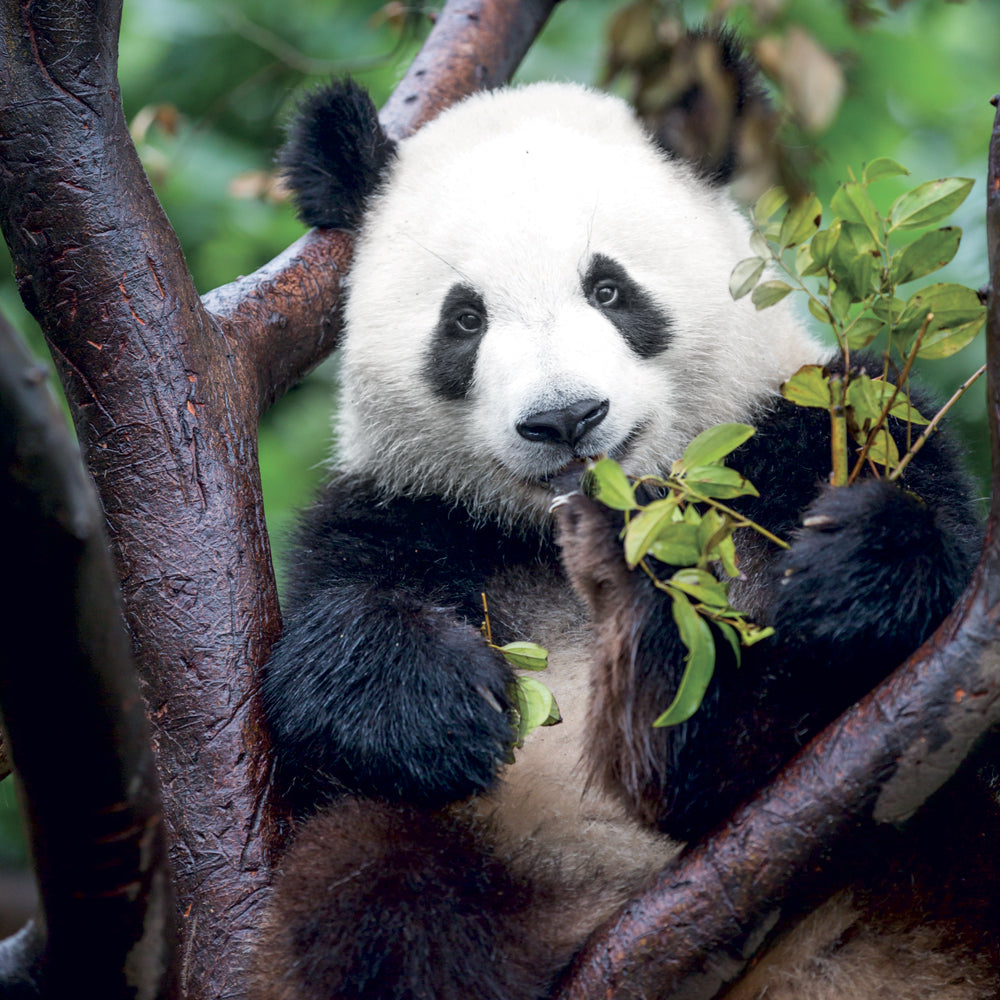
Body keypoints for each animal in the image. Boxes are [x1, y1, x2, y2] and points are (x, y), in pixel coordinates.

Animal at [252, 50, 1000, 1000]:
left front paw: (848, 571)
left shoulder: (800, 430)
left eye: (609, 288)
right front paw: (440, 703)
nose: (565, 418)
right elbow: (314, 678)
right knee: (374, 886)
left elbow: (926, 530)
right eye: (465, 318)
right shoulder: (407, 515)